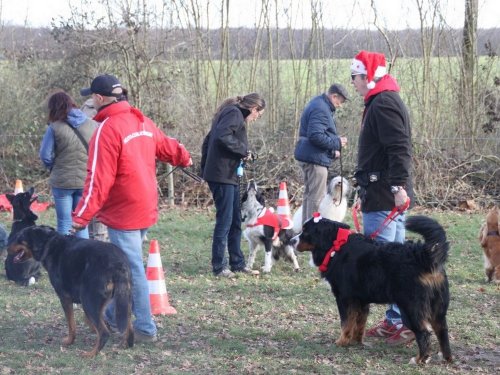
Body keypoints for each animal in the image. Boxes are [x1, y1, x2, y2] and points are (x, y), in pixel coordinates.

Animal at [8, 225, 133, 356]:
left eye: (19, 236)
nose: (6, 247)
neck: (50, 244)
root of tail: (118, 264)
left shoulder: (65, 298)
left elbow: (71, 325)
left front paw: (69, 341)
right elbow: (86, 320)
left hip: (89, 301)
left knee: (104, 333)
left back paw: (91, 354)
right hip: (123, 301)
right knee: (128, 325)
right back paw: (125, 344)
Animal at [292, 216, 454, 366]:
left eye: (306, 231)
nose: (292, 240)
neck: (335, 246)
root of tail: (423, 255)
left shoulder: (344, 298)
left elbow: (346, 323)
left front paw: (342, 342)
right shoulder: (361, 300)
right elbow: (359, 323)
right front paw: (356, 341)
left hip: (410, 308)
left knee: (424, 333)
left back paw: (420, 359)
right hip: (438, 309)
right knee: (442, 331)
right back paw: (446, 358)